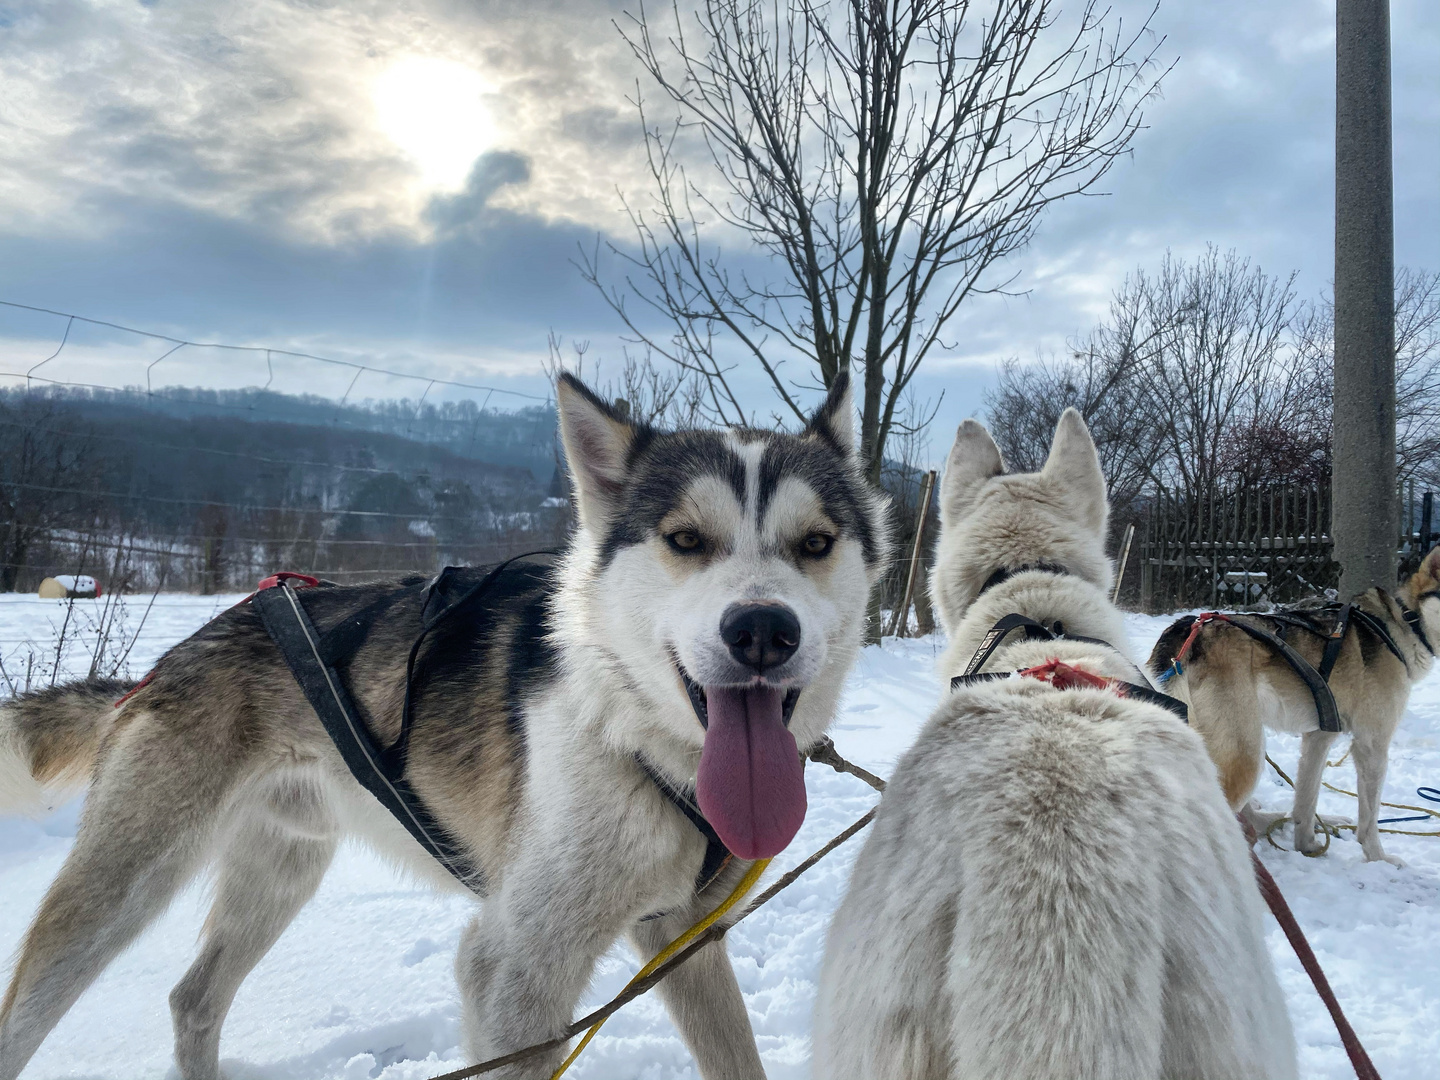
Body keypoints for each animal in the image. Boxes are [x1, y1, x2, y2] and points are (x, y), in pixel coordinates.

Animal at [0, 374, 887, 1080]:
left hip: (283, 869)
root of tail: (172, 656)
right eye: (685, 539)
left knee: (193, 998)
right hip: (118, 890)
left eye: (815, 543)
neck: (645, 742)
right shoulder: (514, 971)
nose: (763, 631)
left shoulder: (686, 941)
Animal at [1146, 552, 1440, 869]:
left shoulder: (1318, 737)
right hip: (1246, 754)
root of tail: (1187, 632)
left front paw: (1307, 845)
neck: (1401, 626)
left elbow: (1306, 803)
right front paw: (1378, 858)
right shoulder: (1371, 746)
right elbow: (1369, 819)